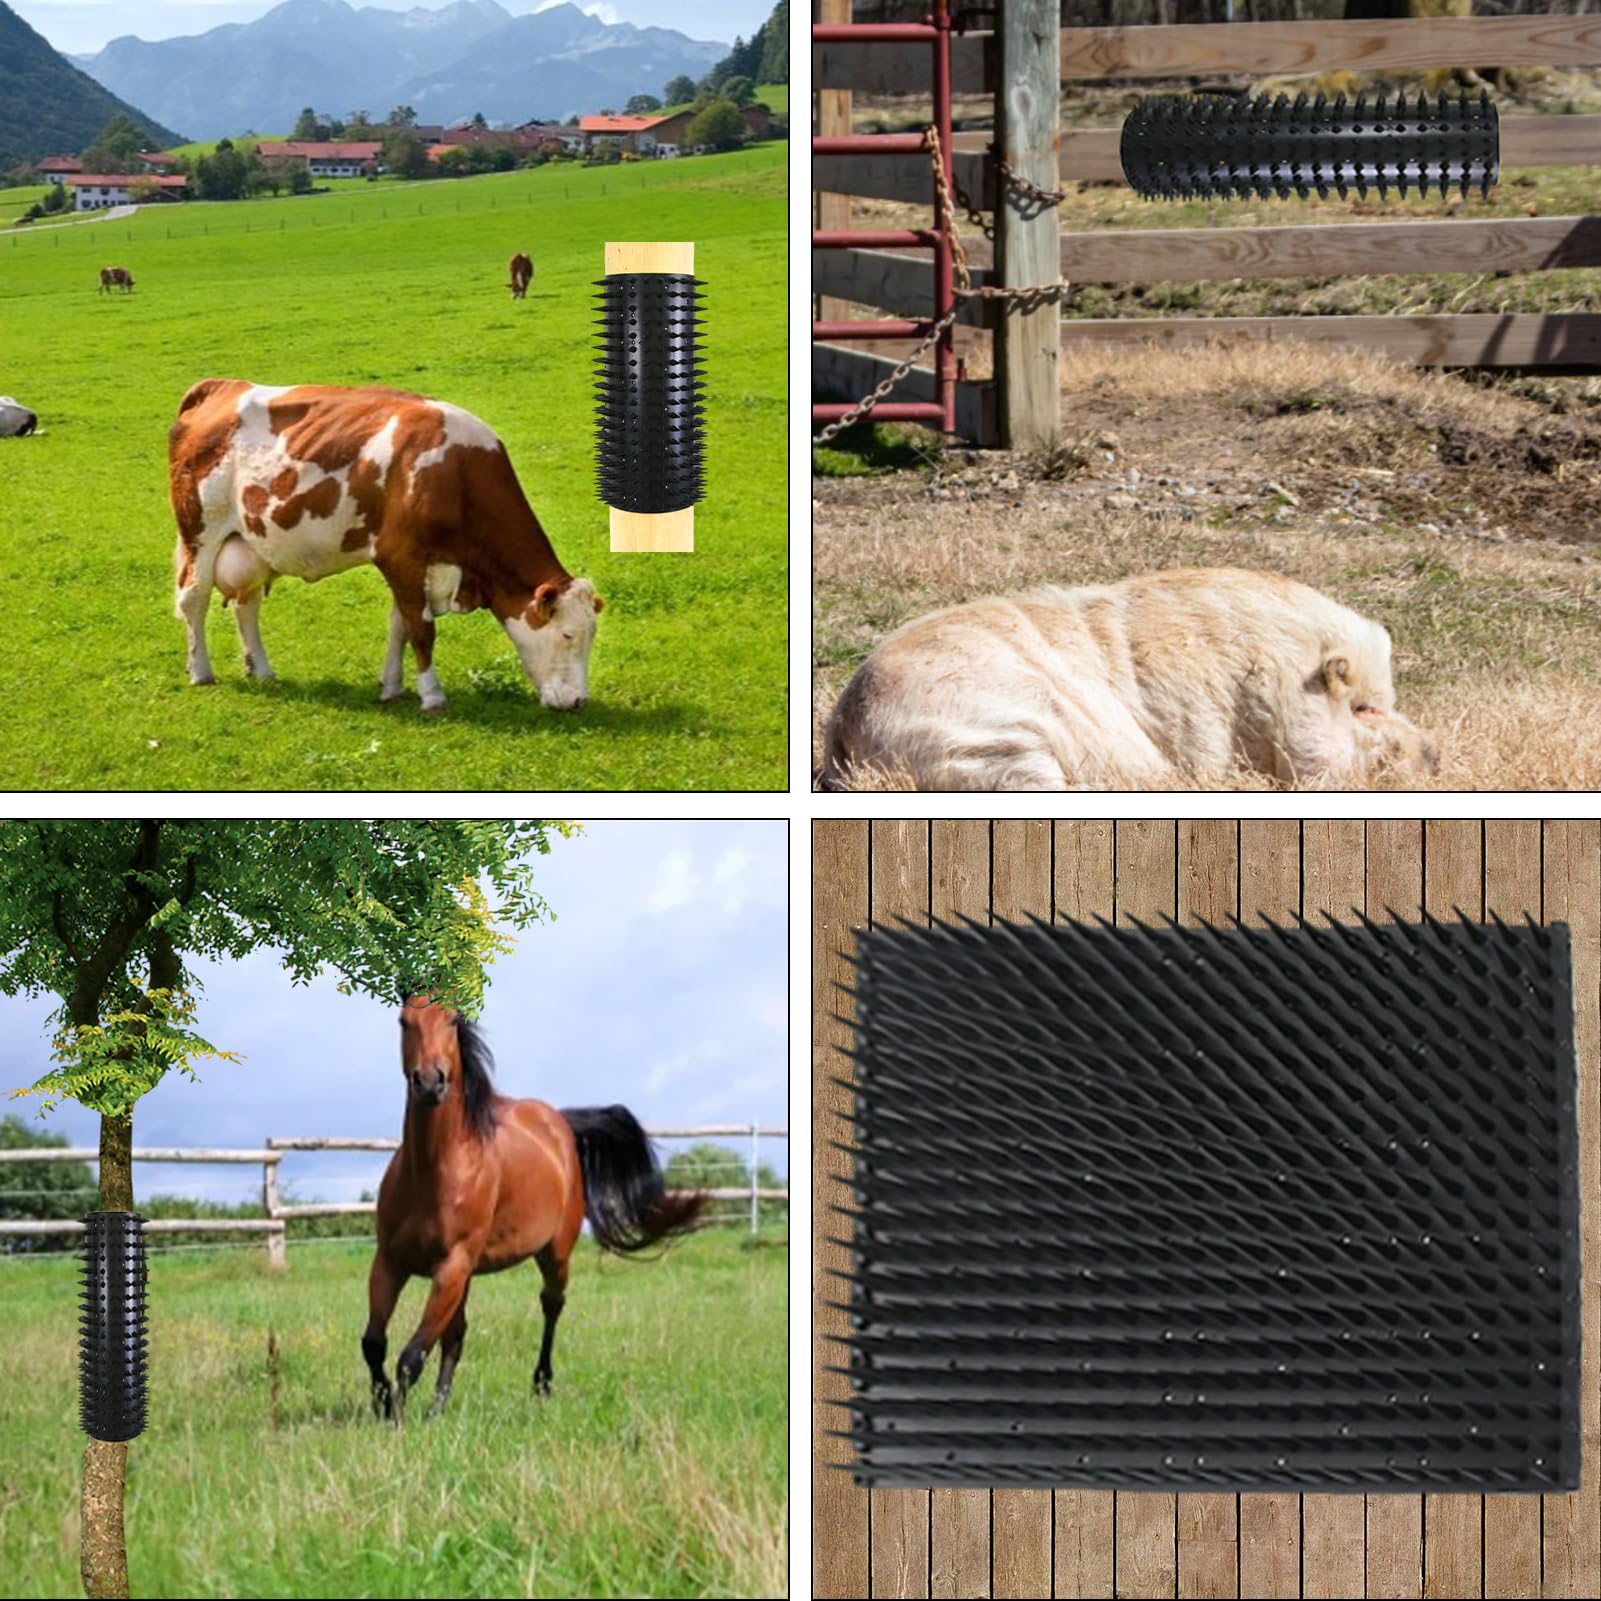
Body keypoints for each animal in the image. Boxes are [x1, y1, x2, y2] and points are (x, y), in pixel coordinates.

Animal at [361, 993, 703, 1419]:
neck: (434, 1169)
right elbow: (375, 1343)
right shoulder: (392, 1262)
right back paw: (439, 1408)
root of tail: (560, 1124)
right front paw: (385, 1405)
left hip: (553, 1254)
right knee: (456, 1335)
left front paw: (395, 1418)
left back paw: (542, 1384)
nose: (429, 1082)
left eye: (453, 1020)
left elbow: (412, 1355)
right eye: (404, 1021)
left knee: (551, 1305)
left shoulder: (452, 1266)